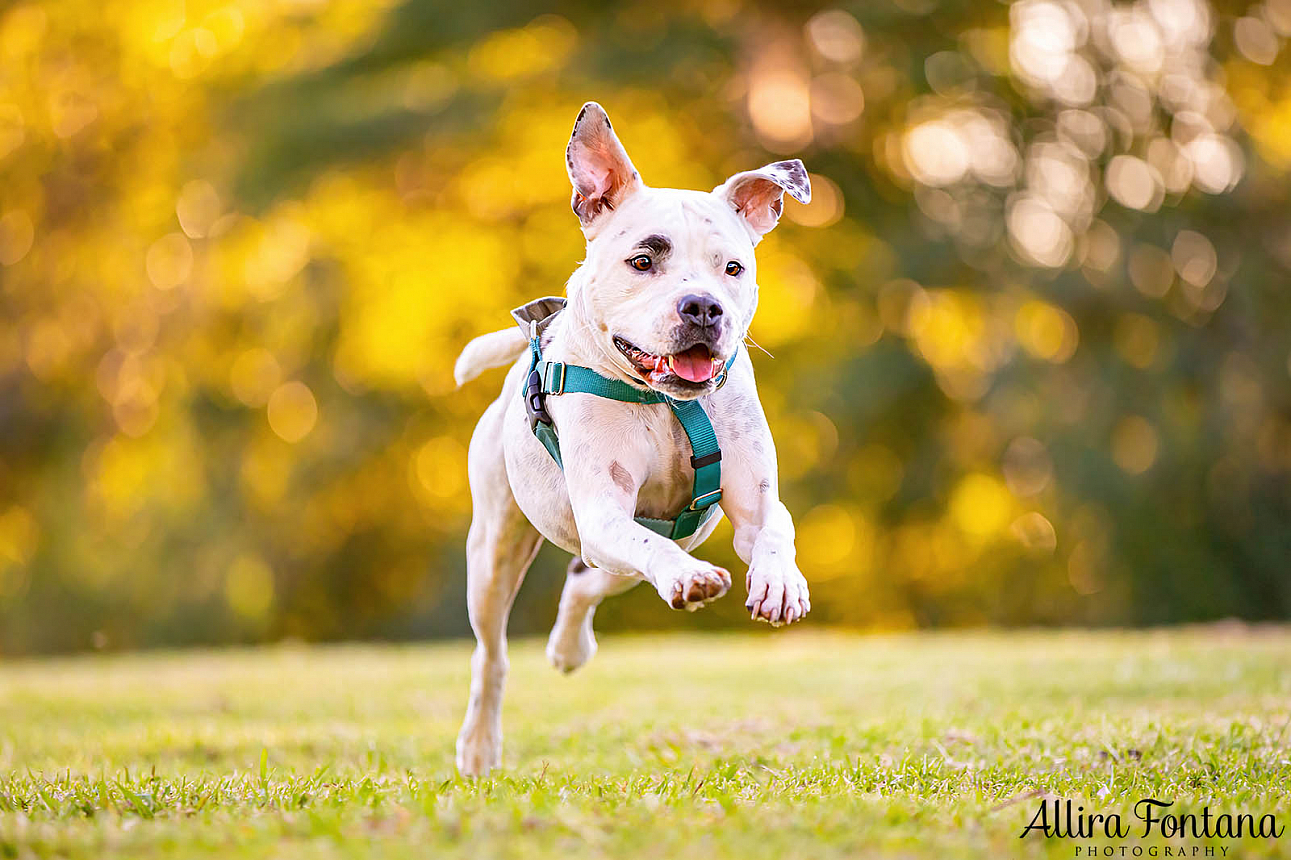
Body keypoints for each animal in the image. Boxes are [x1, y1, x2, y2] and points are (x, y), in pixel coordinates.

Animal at [454, 102, 810, 774]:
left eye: (733, 268)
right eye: (643, 261)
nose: (703, 307)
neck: (667, 404)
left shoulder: (753, 506)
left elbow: (774, 529)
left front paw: (780, 581)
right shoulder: (604, 511)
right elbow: (653, 553)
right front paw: (689, 581)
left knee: (588, 578)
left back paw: (570, 649)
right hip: (494, 550)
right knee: (492, 655)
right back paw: (479, 747)